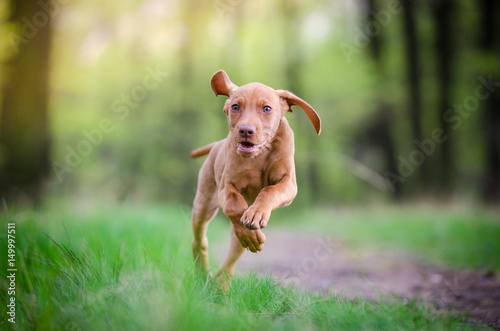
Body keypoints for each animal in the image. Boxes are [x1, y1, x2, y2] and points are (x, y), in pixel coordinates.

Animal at [189, 70, 322, 282]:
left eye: (266, 108)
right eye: (235, 107)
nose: (245, 130)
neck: (259, 156)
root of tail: (216, 145)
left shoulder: (289, 184)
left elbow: (269, 191)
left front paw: (256, 214)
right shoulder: (226, 187)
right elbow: (234, 205)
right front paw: (251, 229)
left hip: (232, 235)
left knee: (232, 257)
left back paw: (220, 282)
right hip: (203, 205)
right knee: (200, 239)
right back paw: (204, 270)